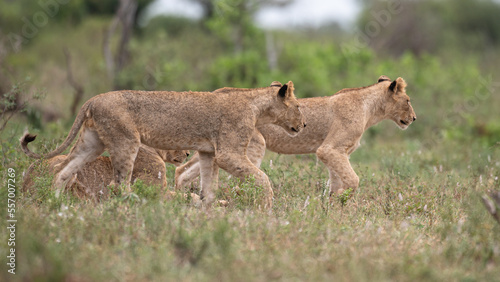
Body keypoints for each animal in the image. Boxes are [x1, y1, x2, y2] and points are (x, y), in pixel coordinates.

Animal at [174, 76, 416, 197]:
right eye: (408, 100)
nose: (414, 118)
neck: (371, 110)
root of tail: (215, 93)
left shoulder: (337, 153)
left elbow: (336, 182)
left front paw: (333, 207)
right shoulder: (330, 149)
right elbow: (353, 180)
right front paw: (346, 203)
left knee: (182, 170)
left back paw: (182, 200)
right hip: (254, 144)